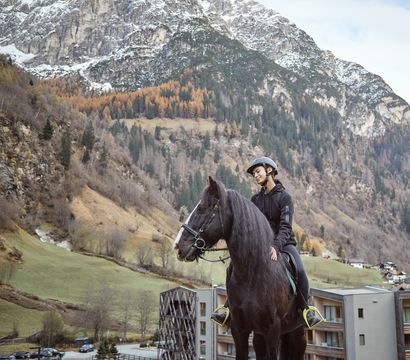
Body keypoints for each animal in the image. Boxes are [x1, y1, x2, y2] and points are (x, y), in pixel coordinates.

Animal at [175, 178, 306, 360]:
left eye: (201, 208)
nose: (178, 246)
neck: (253, 273)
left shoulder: (273, 330)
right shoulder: (239, 329)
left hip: (296, 333)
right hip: (260, 335)